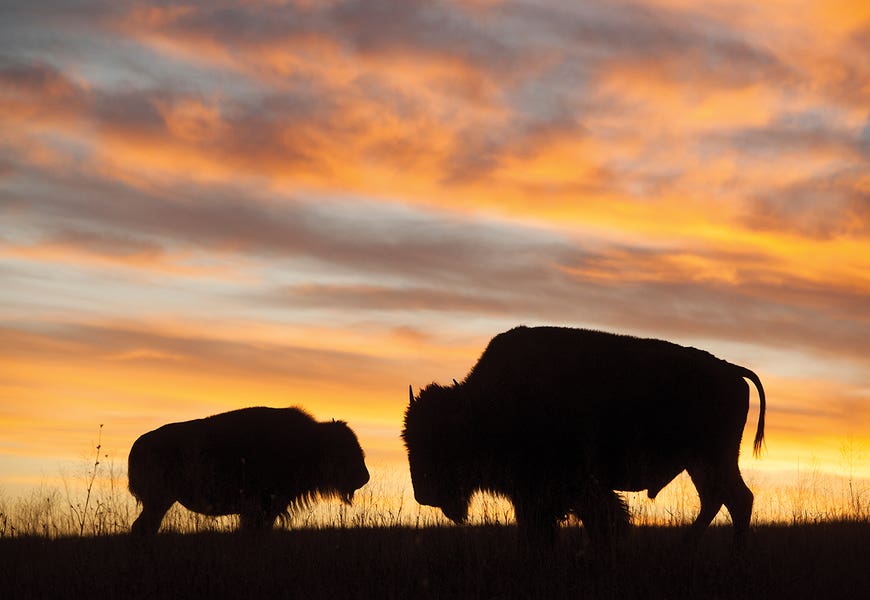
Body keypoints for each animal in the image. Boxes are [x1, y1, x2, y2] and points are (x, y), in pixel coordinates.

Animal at [128, 406, 369, 535]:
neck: (311, 443)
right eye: (345, 449)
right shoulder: (261, 506)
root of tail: (139, 445)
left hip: (160, 502)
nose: (364, 477)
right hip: (158, 500)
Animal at [402, 326, 766, 545]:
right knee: (719, 499)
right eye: (409, 440)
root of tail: (731, 370)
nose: (424, 494)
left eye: (443, 440)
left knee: (737, 499)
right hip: (701, 463)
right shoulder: (533, 493)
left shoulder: (571, 486)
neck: (486, 406)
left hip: (713, 458)